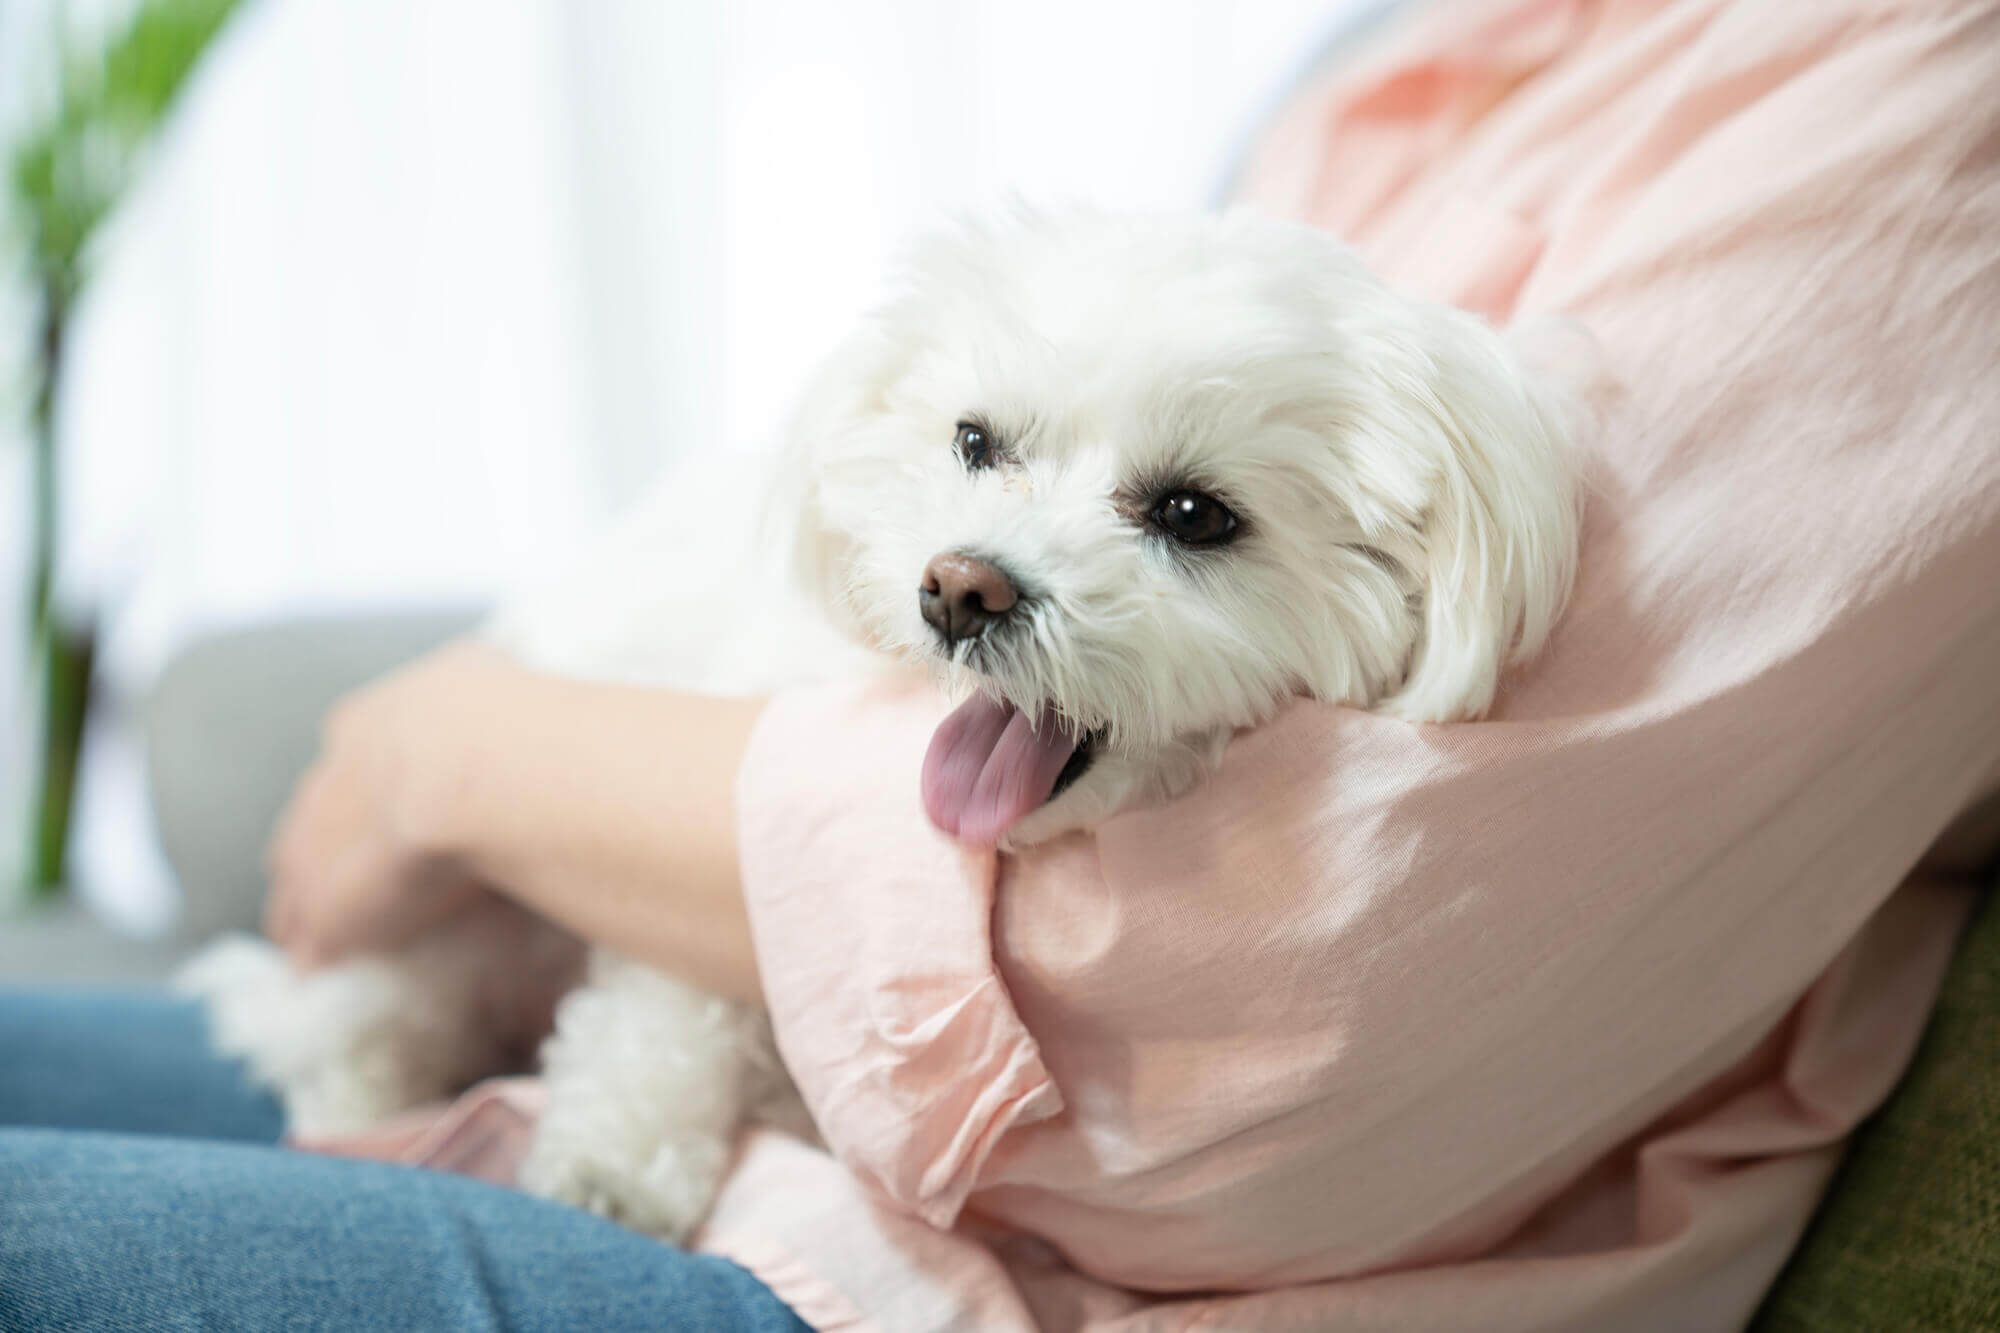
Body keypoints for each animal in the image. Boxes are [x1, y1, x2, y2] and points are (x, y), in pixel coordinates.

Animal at [180, 205, 1584, 1232]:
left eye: (1195, 514)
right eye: (974, 441)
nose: (960, 587)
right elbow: (668, 1008)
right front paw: (614, 1165)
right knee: (348, 1031)